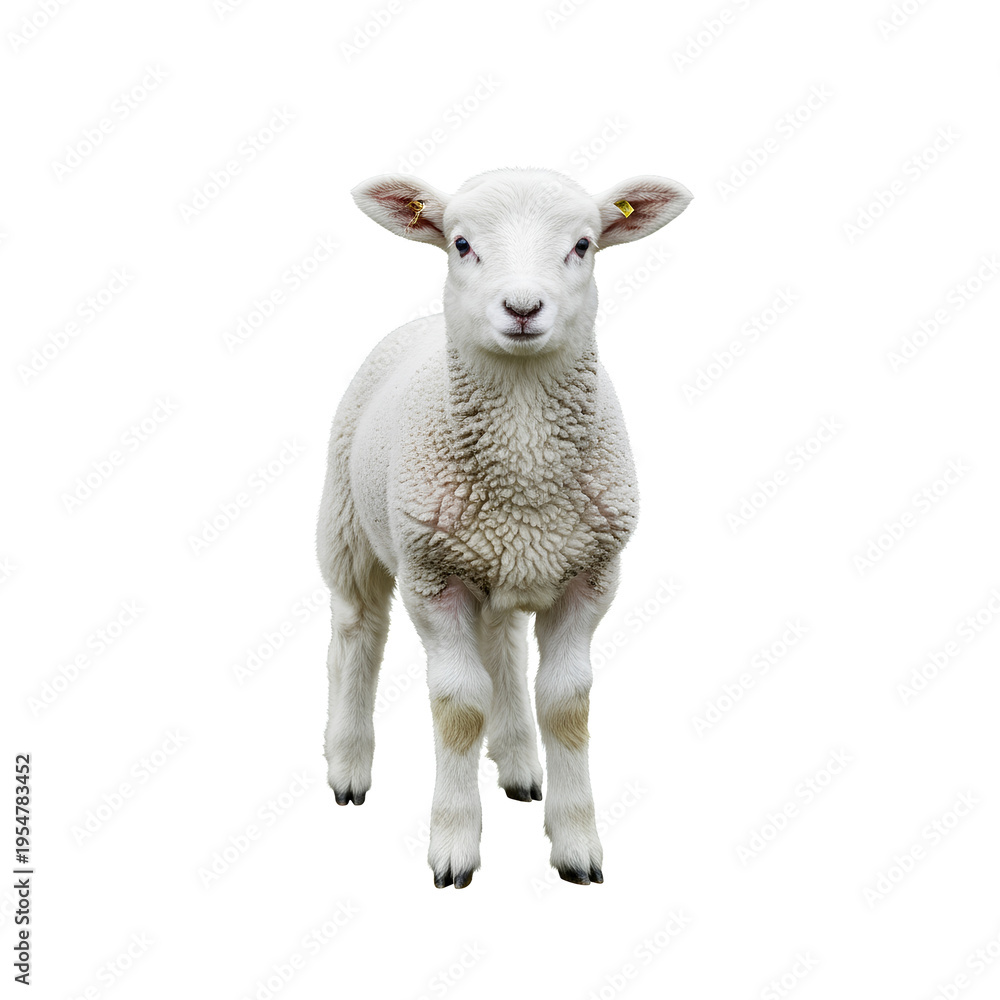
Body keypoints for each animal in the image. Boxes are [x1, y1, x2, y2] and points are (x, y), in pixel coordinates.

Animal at [317, 167, 692, 888]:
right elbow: (460, 706)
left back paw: (519, 764)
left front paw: (577, 846)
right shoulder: (432, 579)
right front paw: (454, 848)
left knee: (504, 646)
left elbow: (566, 703)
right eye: (461, 244)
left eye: (583, 244)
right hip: (347, 523)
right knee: (357, 632)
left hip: (502, 562)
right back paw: (347, 765)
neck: (523, 473)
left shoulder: (589, 576)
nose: (522, 308)